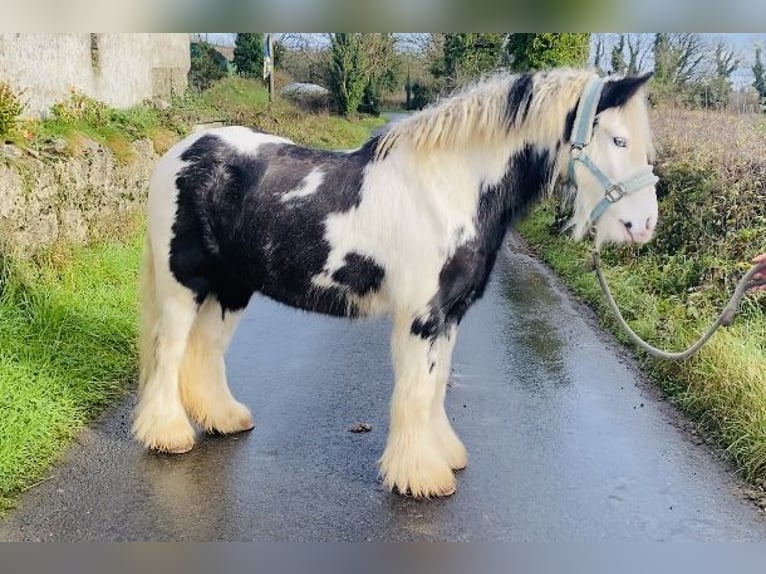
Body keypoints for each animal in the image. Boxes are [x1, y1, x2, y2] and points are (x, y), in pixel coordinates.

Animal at [132, 67, 660, 500]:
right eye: (618, 140)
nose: (644, 225)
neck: (449, 189)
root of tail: (182, 152)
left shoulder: (449, 315)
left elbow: (437, 386)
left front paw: (444, 455)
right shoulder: (422, 317)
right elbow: (416, 391)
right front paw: (420, 476)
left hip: (231, 287)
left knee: (205, 351)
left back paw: (224, 420)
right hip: (183, 286)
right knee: (170, 351)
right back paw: (168, 435)